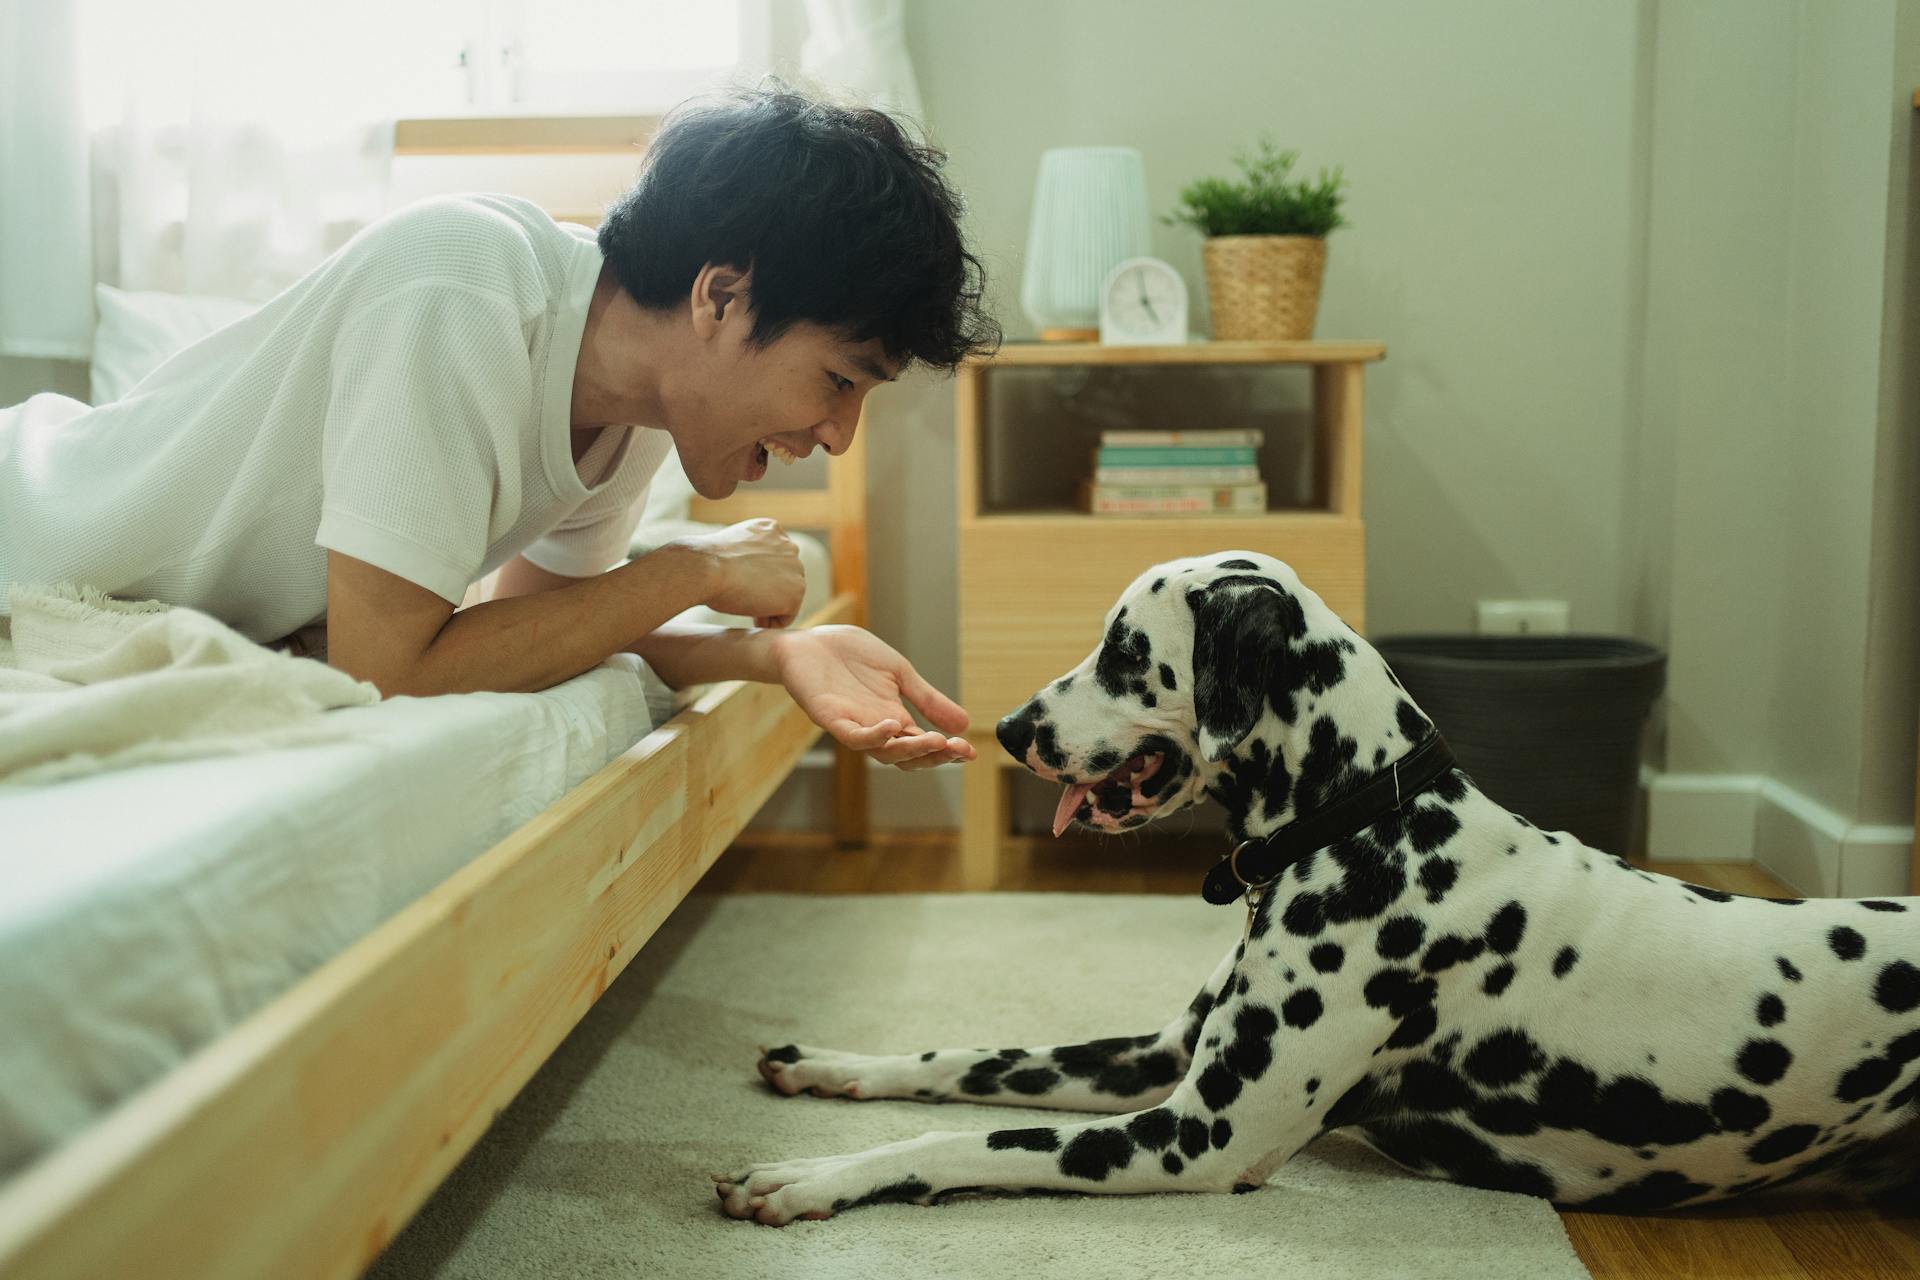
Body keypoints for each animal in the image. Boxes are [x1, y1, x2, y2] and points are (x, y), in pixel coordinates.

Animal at [710, 545, 1920, 1228]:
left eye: (1124, 650)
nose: (1007, 729)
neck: (1370, 823)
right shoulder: (1158, 1059)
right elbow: (960, 1057)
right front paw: (830, 1065)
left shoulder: (1194, 1133)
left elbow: (958, 1141)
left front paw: (806, 1179)